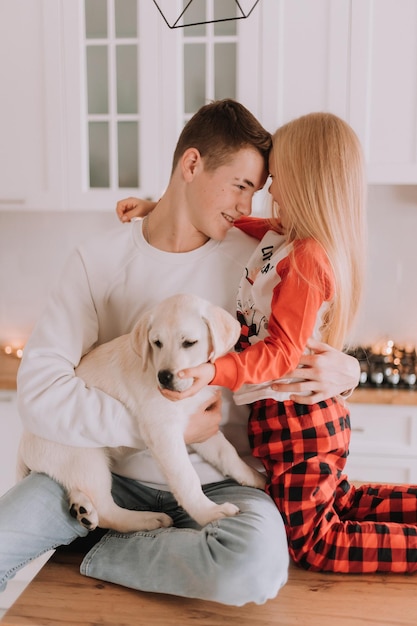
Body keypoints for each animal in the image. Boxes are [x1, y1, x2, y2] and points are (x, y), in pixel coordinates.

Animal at [17, 294, 264, 532]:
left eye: (189, 343)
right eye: (157, 343)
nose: (164, 377)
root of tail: (23, 445)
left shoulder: (201, 425)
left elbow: (228, 454)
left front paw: (255, 477)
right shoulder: (163, 430)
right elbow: (186, 477)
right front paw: (209, 513)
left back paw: (82, 509)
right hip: (85, 457)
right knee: (107, 512)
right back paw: (148, 519)